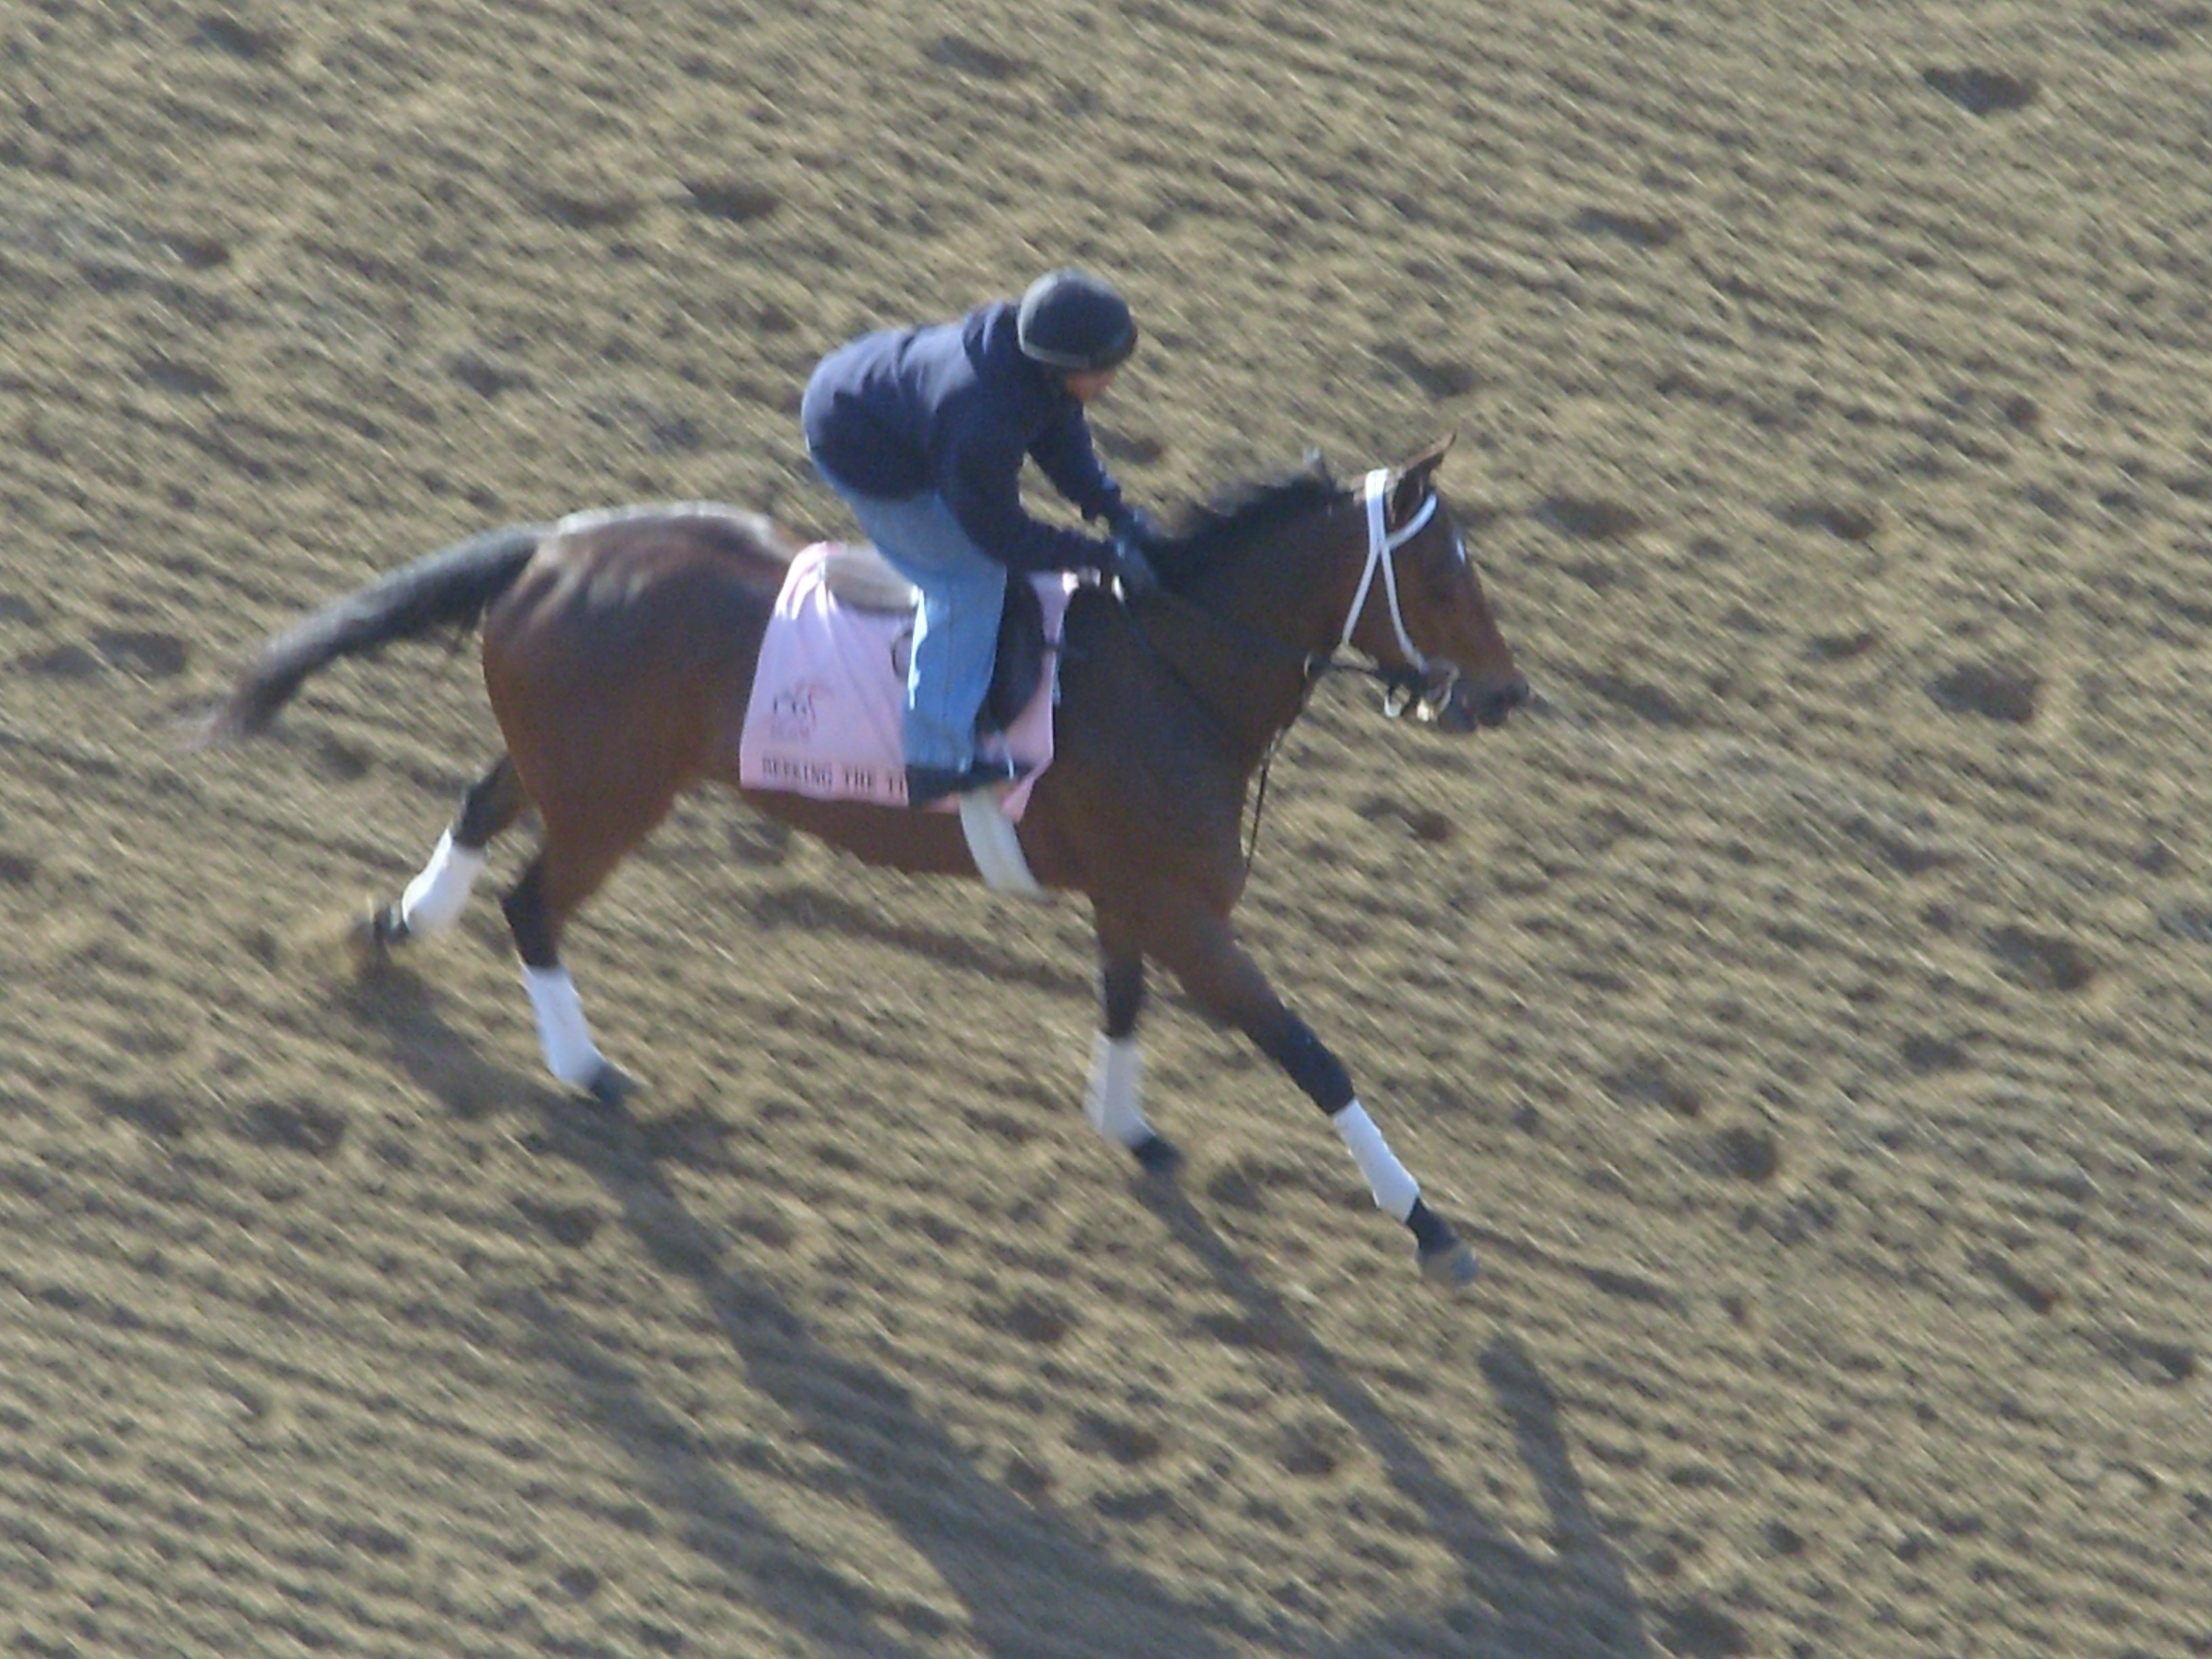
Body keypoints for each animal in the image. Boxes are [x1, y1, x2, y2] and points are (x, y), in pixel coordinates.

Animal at [194, 436, 1529, 1286]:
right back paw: (584, 1066)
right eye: (1440, 575)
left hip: (577, 762)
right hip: (616, 796)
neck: (1172, 667)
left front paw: (1127, 1126)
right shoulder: (1184, 911)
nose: (1509, 695)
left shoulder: (1132, 895)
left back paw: (391, 928)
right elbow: (1308, 1051)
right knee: (532, 903)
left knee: (479, 807)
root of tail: (550, 551)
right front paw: (1427, 1223)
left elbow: (1119, 1001)